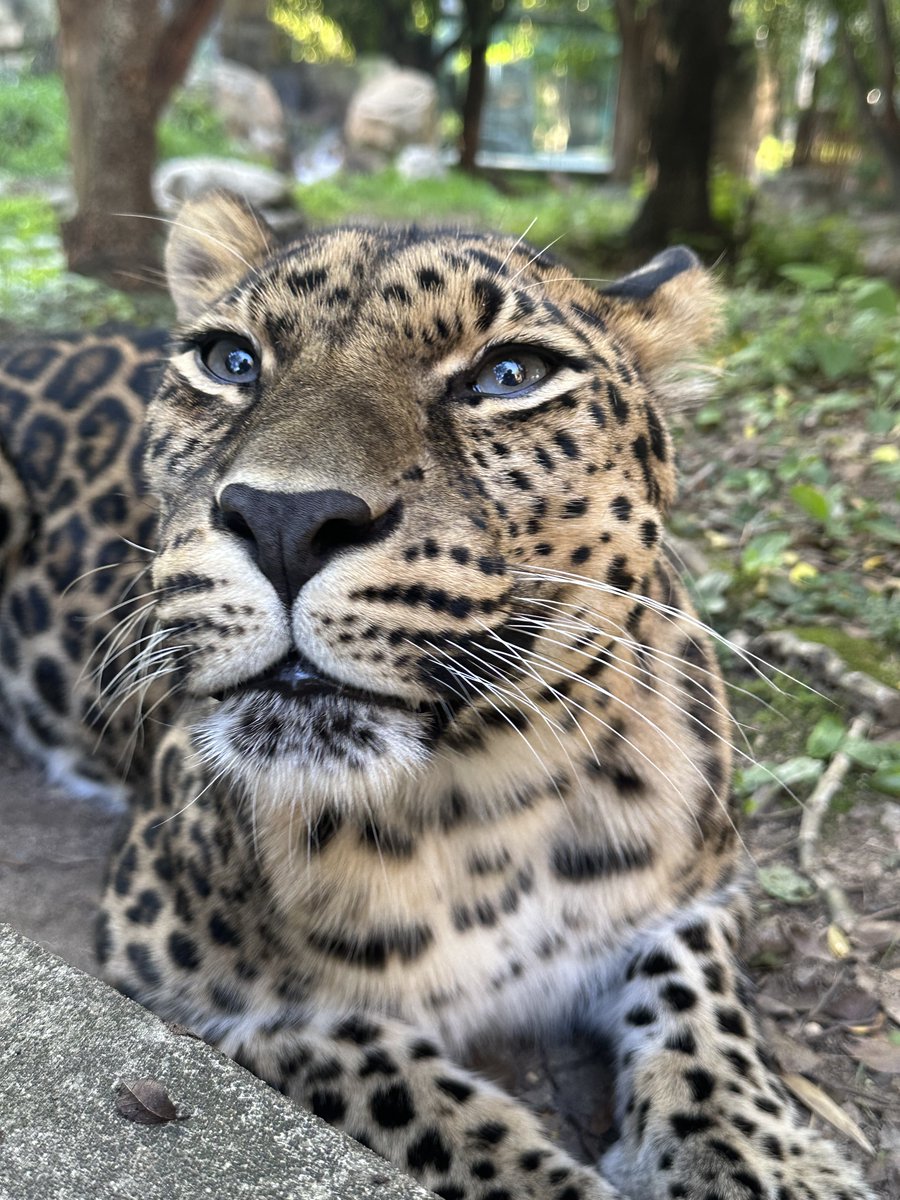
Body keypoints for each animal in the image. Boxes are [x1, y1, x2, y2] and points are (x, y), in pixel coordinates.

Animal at [0, 192, 874, 1200]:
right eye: (231, 361)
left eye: (509, 374)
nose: (282, 520)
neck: (490, 803)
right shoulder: (191, 982)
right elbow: (425, 1105)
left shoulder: (699, 888)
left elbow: (706, 1020)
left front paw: (763, 1165)